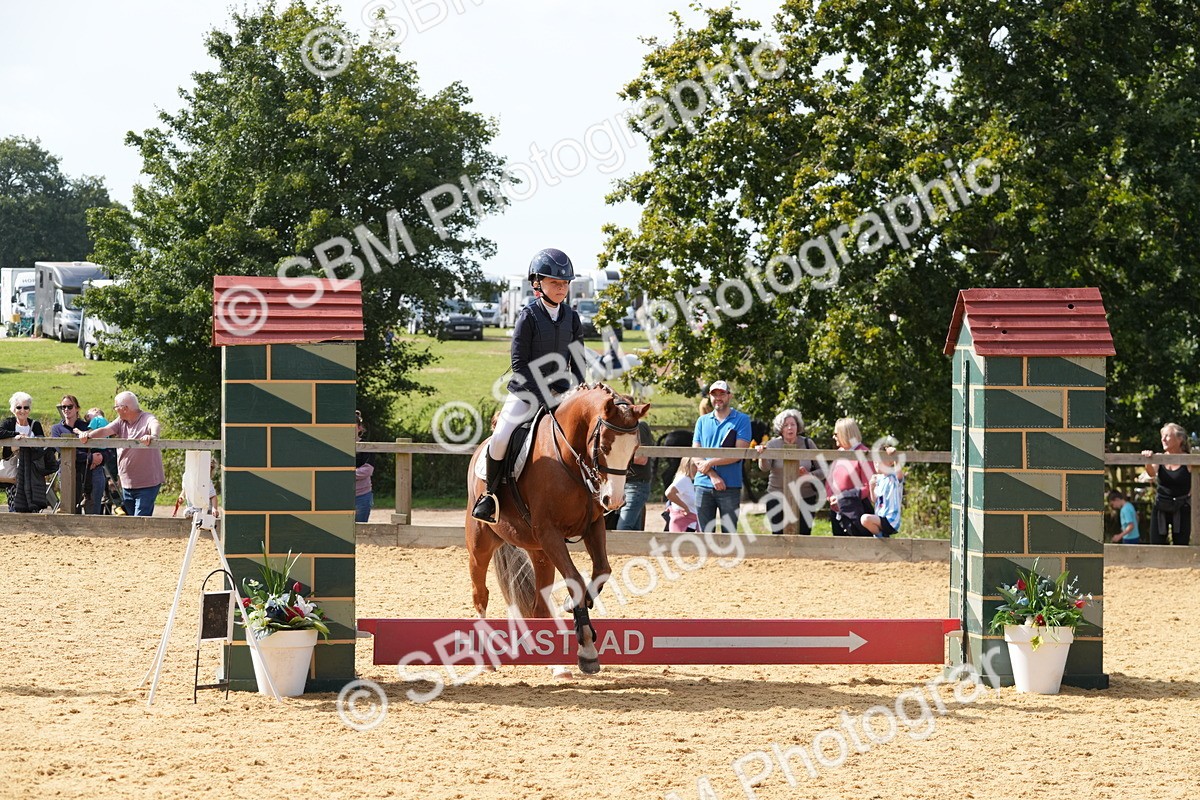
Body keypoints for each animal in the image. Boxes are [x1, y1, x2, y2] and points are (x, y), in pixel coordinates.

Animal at [465, 384, 651, 675]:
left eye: (635, 447)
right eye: (604, 446)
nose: (614, 501)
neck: (568, 458)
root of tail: (480, 448)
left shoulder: (592, 526)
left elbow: (602, 571)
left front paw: (577, 606)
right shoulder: (550, 533)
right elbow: (575, 578)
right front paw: (586, 646)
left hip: (539, 553)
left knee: (539, 607)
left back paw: (556, 665)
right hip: (480, 545)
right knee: (480, 595)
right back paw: (484, 661)